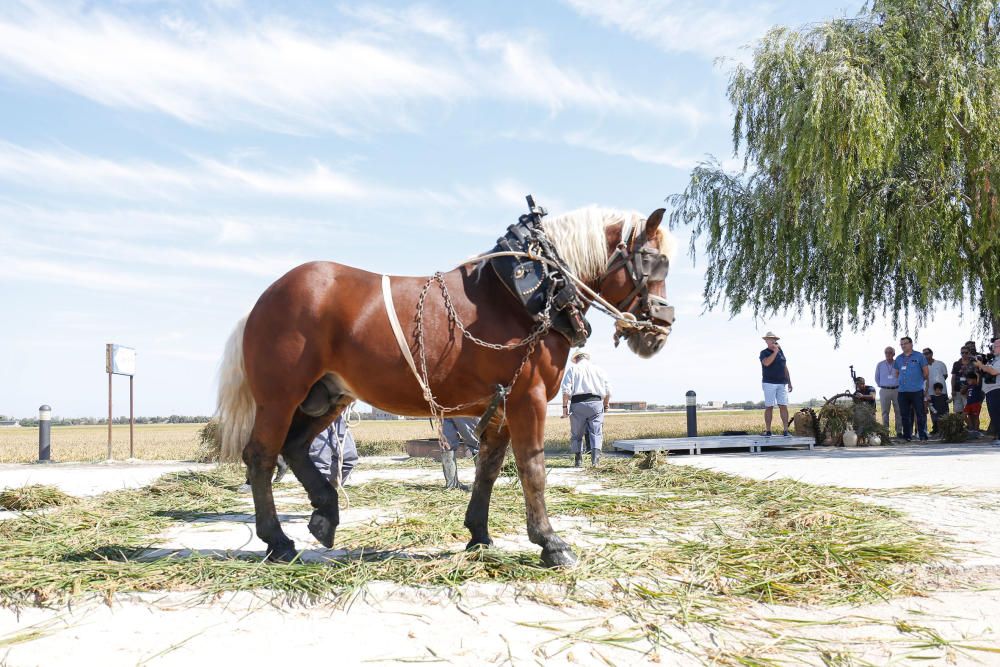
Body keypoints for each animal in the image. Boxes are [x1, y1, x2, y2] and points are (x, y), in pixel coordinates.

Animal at [215, 206, 676, 568]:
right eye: (653, 262)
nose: (662, 326)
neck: (532, 293)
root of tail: (263, 299)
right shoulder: (528, 399)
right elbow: (533, 469)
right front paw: (550, 543)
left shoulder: (502, 404)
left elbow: (488, 469)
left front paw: (479, 535)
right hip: (280, 397)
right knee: (261, 456)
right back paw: (278, 541)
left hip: (328, 396)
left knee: (293, 447)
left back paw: (325, 514)